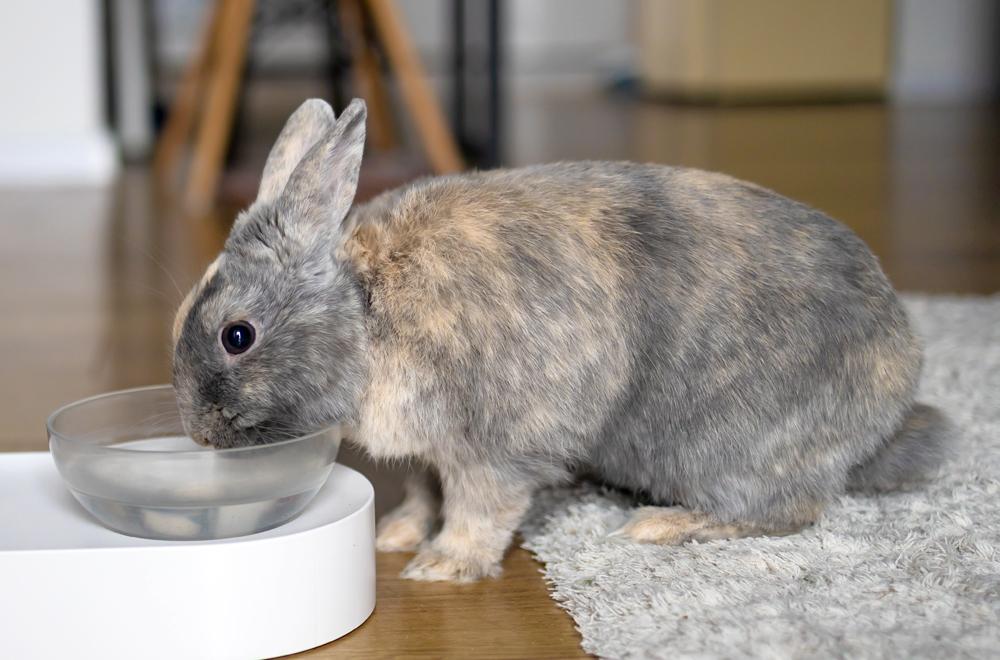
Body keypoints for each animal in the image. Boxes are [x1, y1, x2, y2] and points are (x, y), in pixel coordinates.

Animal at [174, 98, 952, 584]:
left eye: (237, 336)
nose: (199, 435)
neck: (365, 312)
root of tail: (897, 393)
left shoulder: (489, 449)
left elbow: (478, 509)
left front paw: (443, 567)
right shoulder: (429, 452)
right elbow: (425, 494)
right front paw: (395, 534)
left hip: (729, 450)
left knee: (791, 511)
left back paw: (660, 527)